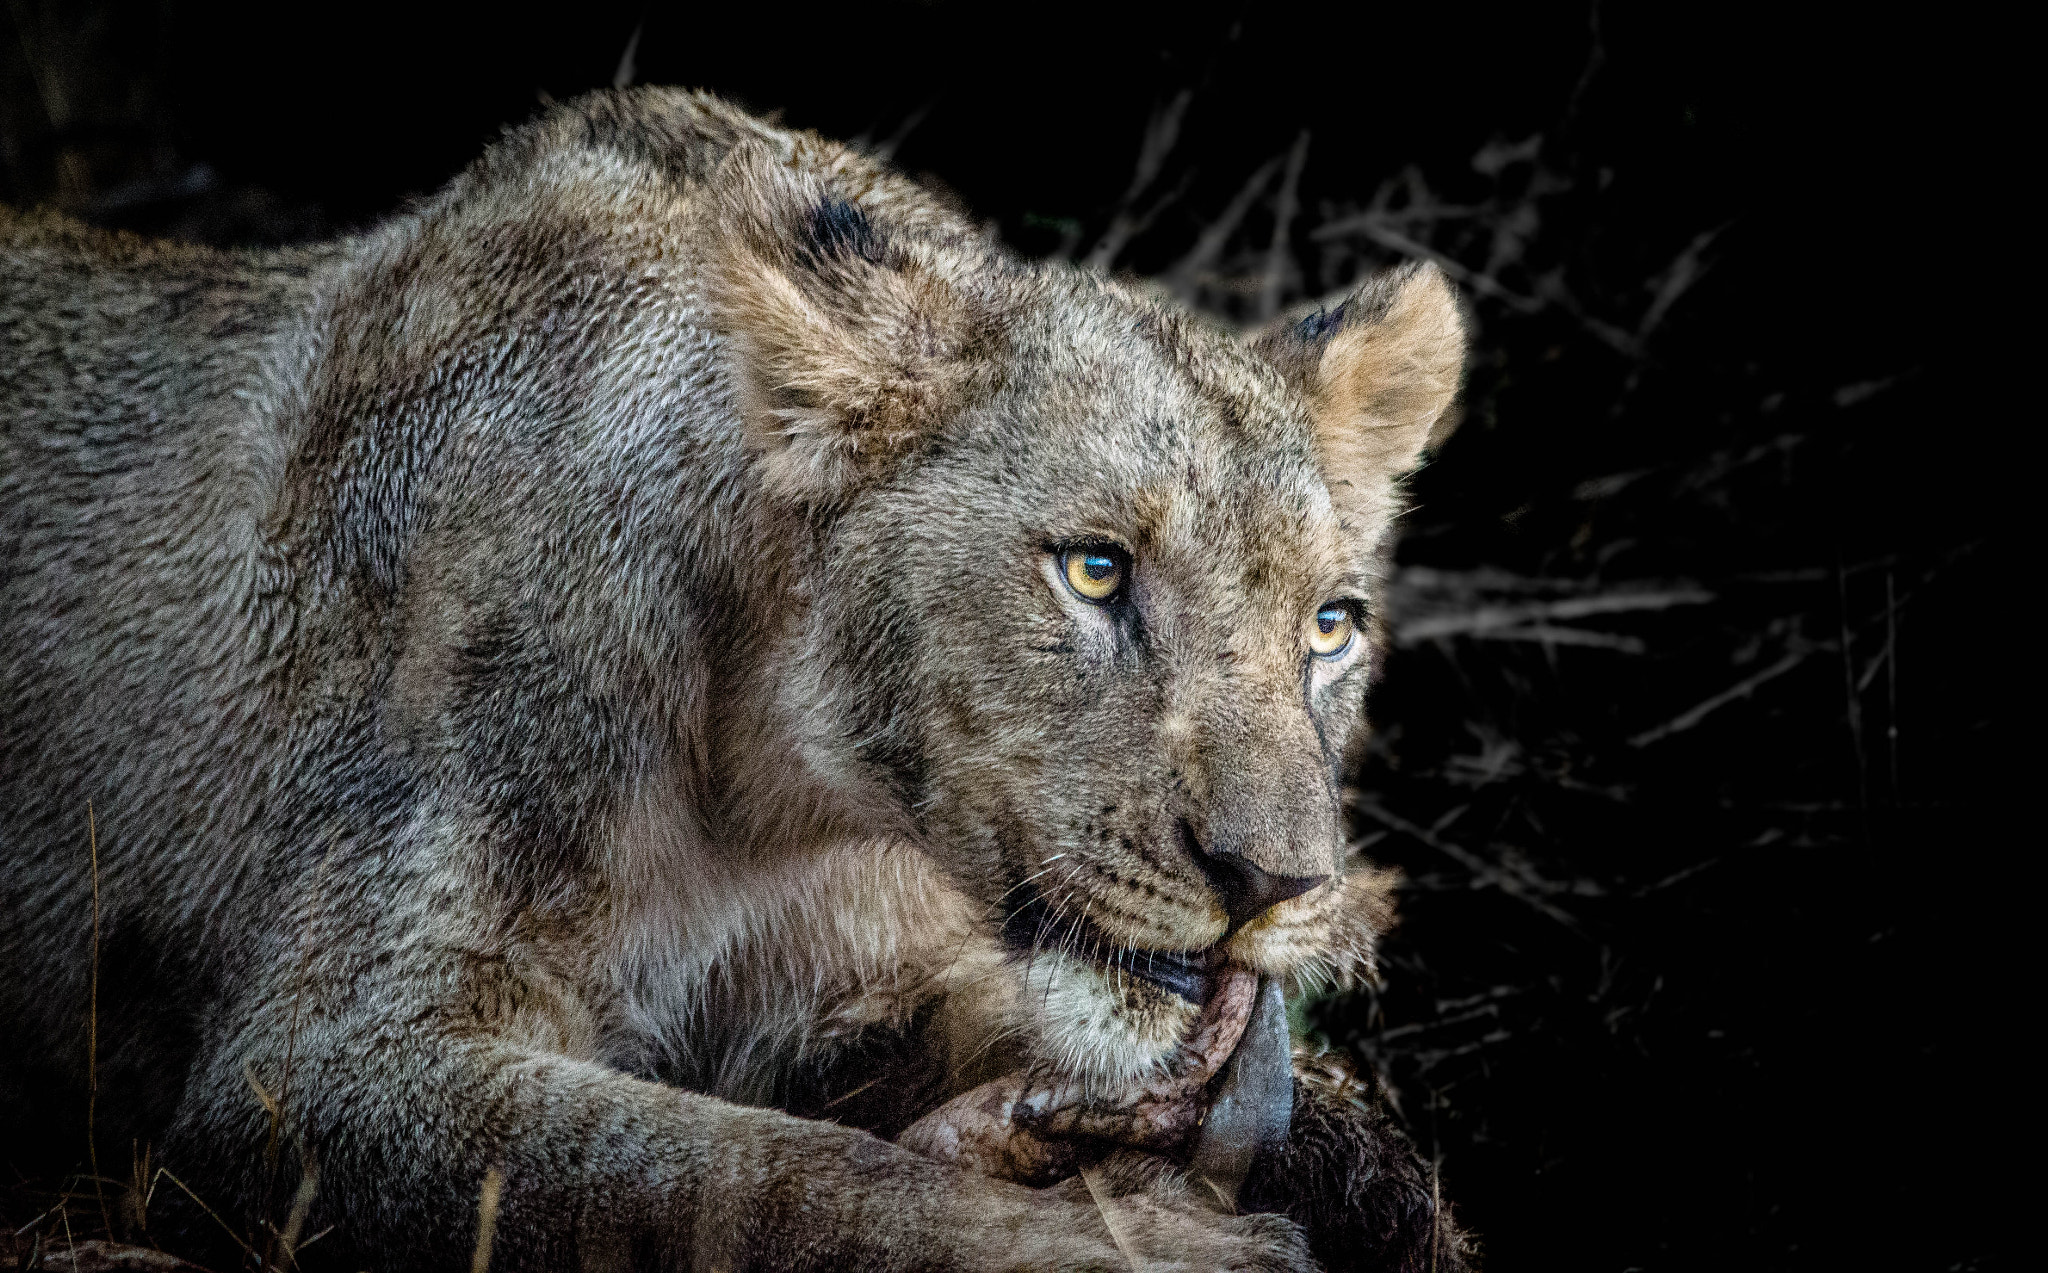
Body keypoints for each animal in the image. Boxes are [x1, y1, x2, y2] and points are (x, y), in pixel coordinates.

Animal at [0, 89, 1473, 1271]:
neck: (773, 787)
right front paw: (1129, 1246)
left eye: (1329, 627)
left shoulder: (850, 982)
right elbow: (745, 1175)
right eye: (1096, 570)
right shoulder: (304, 1069)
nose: (1274, 884)